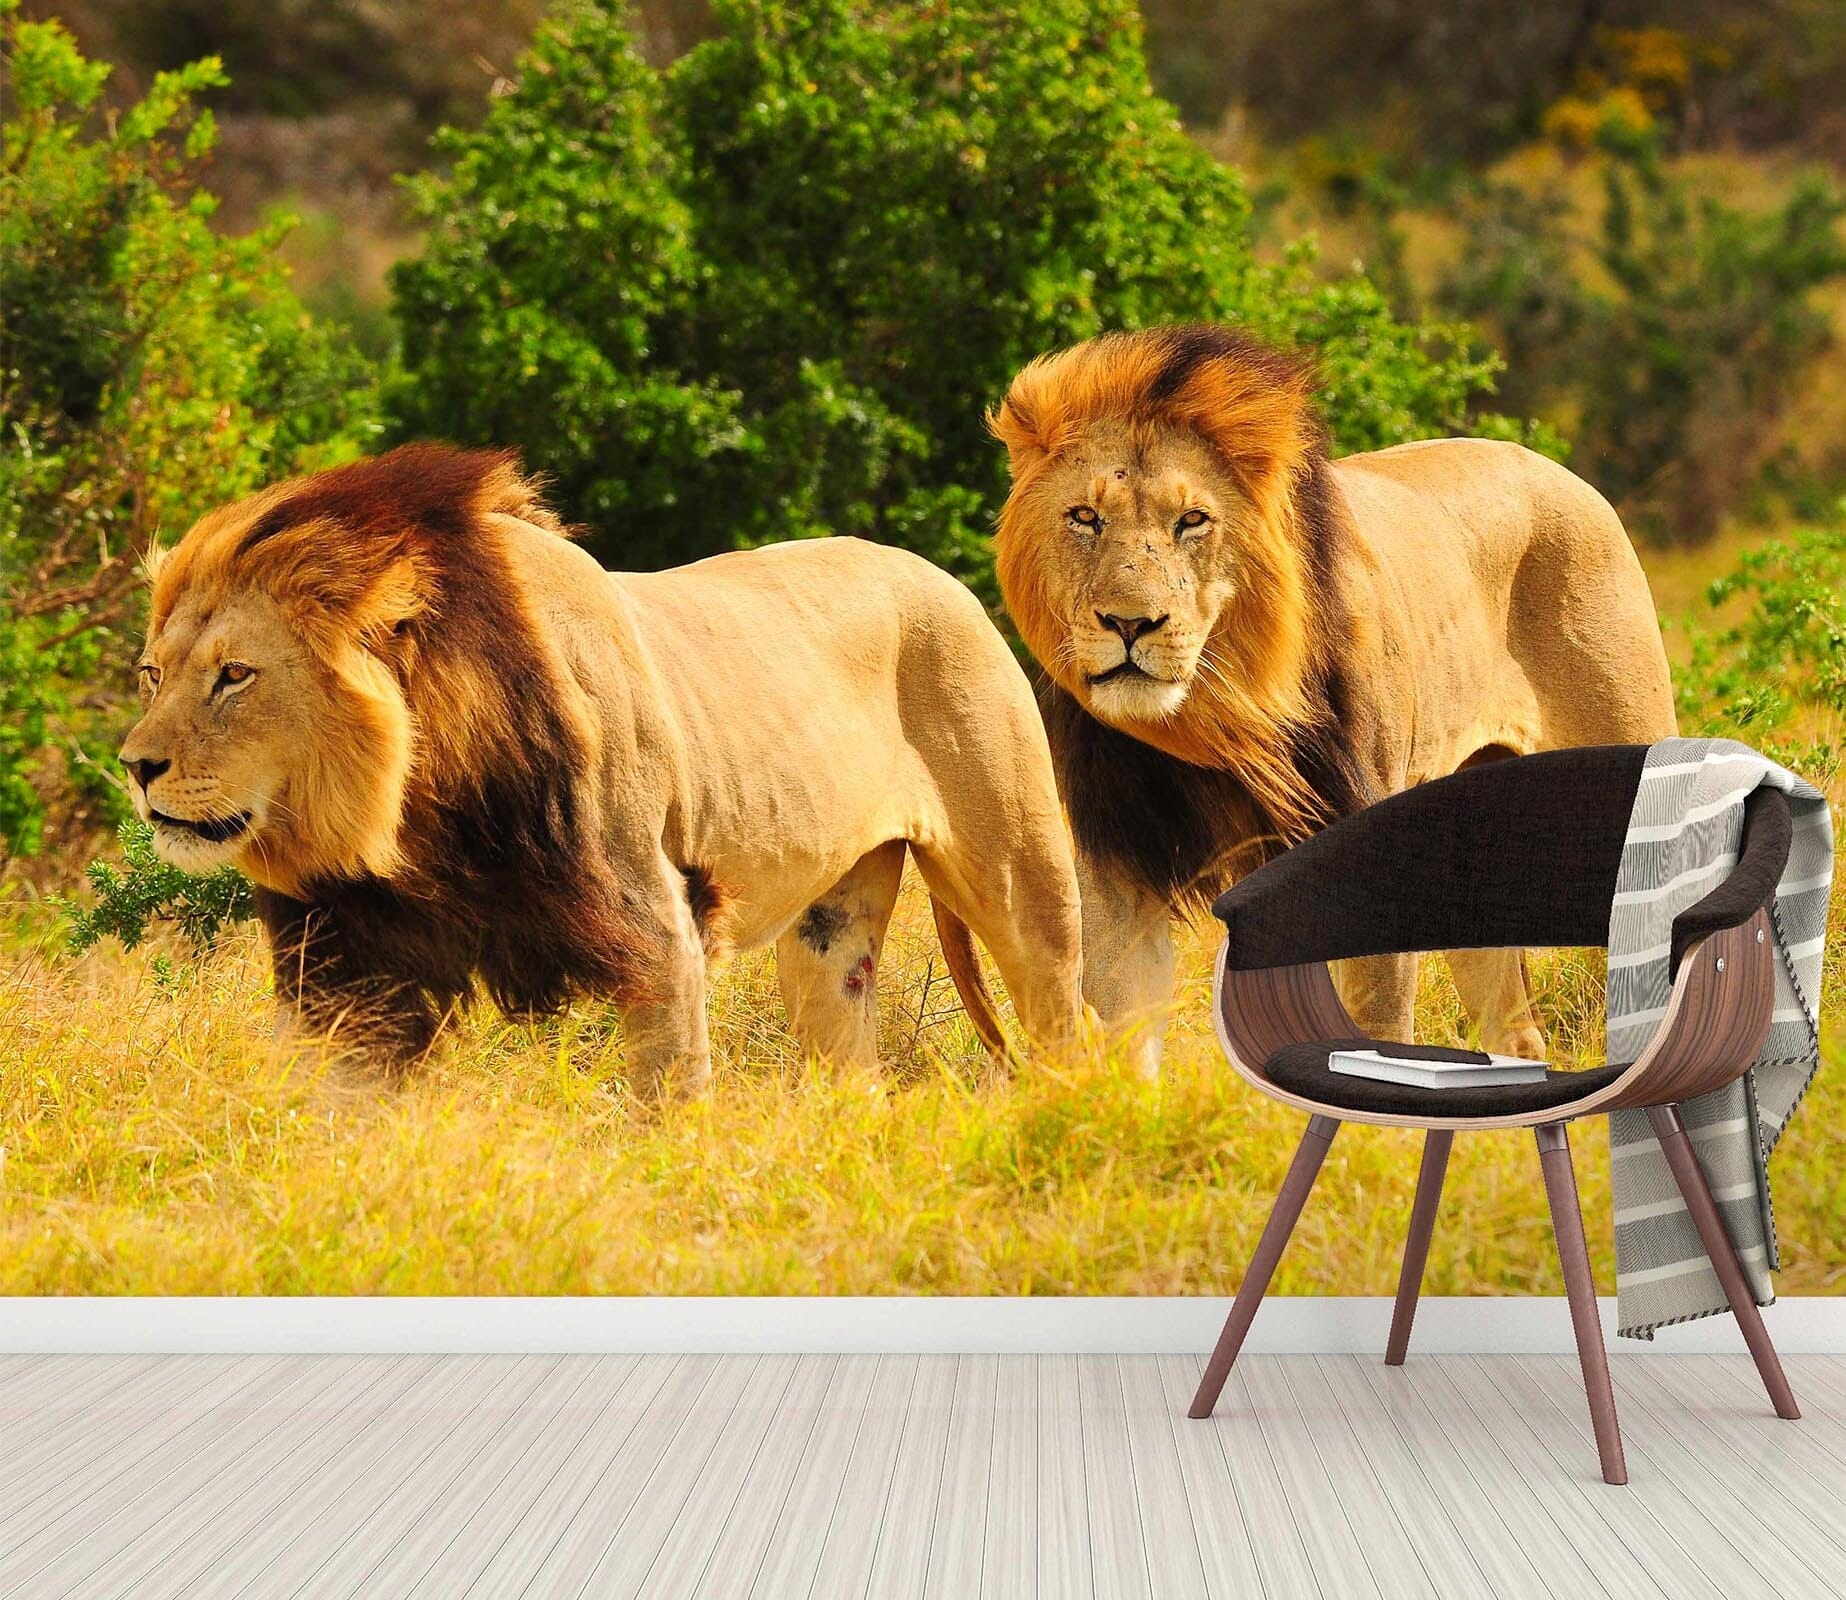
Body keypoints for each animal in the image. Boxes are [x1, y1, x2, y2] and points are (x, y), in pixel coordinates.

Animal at [118, 444, 1086, 1089]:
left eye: (234, 676)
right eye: (153, 674)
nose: (135, 767)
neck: (414, 822)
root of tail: (943, 576)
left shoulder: (658, 927)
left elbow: (667, 1097)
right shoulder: (349, 972)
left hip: (1021, 873)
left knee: (1062, 1008)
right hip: (829, 929)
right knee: (849, 1053)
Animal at [990, 324, 1676, 1073]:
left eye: (1192, 520)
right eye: (1085, 518)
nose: (1129, 623)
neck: (1213, 714)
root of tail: (1568, 476)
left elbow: (1374, 1023)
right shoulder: (1119, 868)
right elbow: (1125, 1038)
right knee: (1515, 1031)